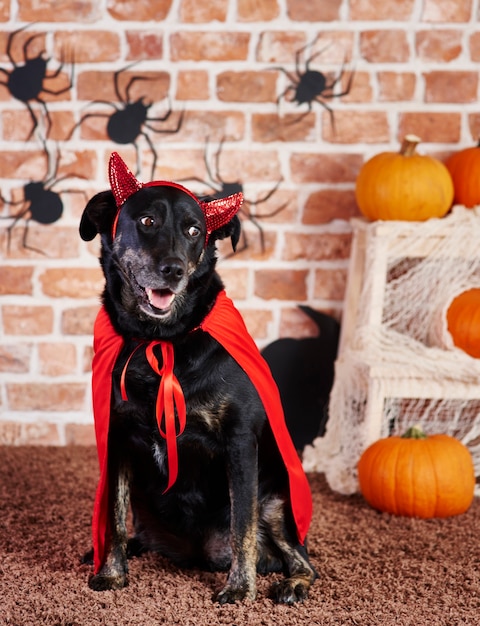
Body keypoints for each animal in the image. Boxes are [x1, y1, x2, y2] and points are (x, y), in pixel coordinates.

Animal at [80, 152, 316, 604]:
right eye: (148, 221)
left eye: (195, 231)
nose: (173, 269)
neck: (163, 341)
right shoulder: (116, 437)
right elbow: (114, 517)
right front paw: (111, 574)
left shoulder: (240, 442)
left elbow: (243, 523)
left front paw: (240, 589)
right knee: (137, 530)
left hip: (277, 497)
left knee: (301, 558)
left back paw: (292, 583)